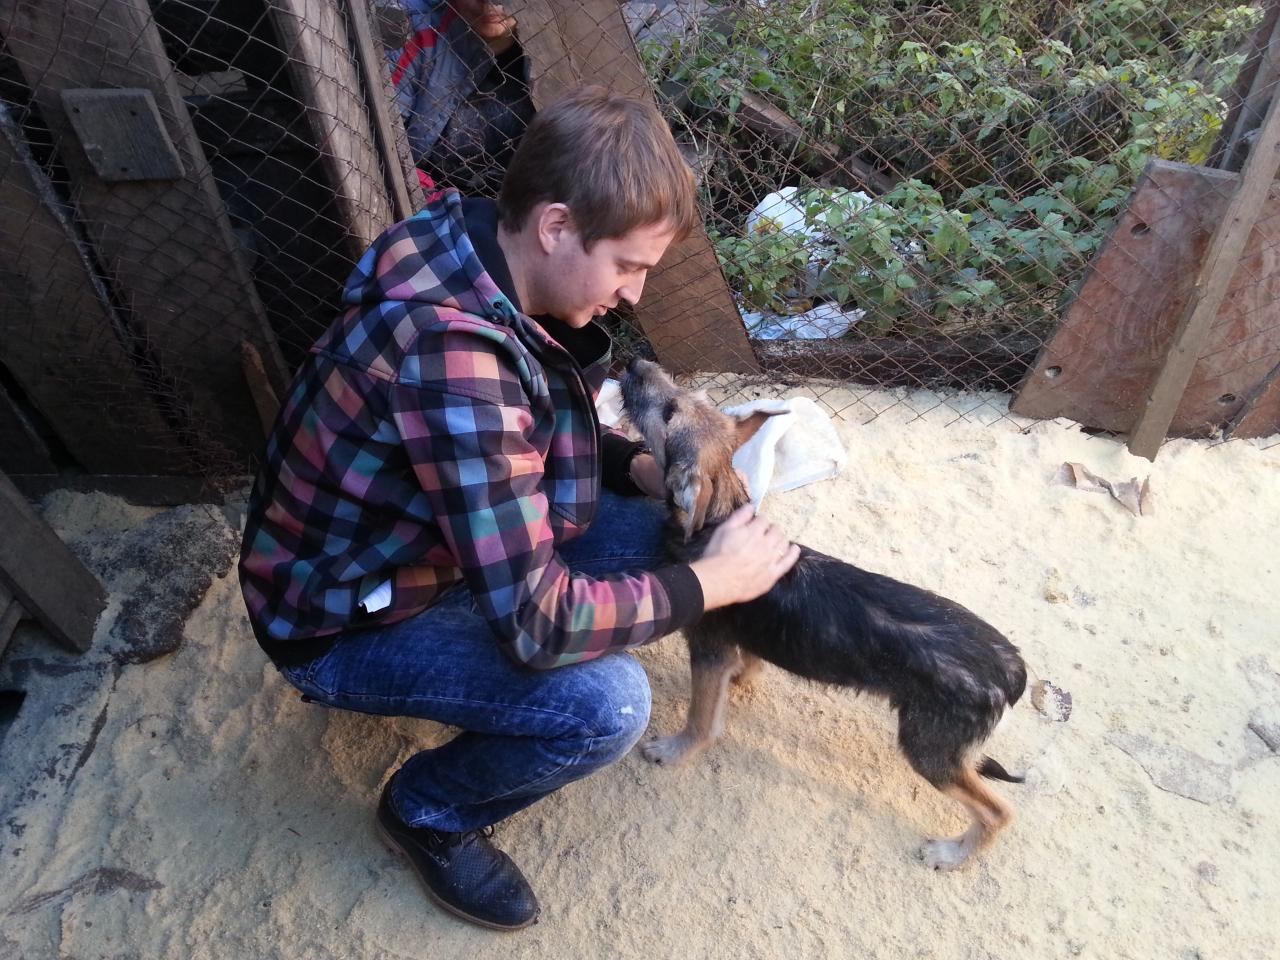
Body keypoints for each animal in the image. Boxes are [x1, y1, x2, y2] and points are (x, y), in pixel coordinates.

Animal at [620, 358, 1027, 870]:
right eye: (687, 395)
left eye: (670, 412)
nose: (634, 362)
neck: (718, 518)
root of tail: (1011, 669)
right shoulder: (739, 642)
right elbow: (748, 663)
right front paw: (743, 678)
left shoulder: (708, 652)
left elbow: (701, 720)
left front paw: (676, 750)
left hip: (927, 748)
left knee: (998, 811)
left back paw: (952, 852)